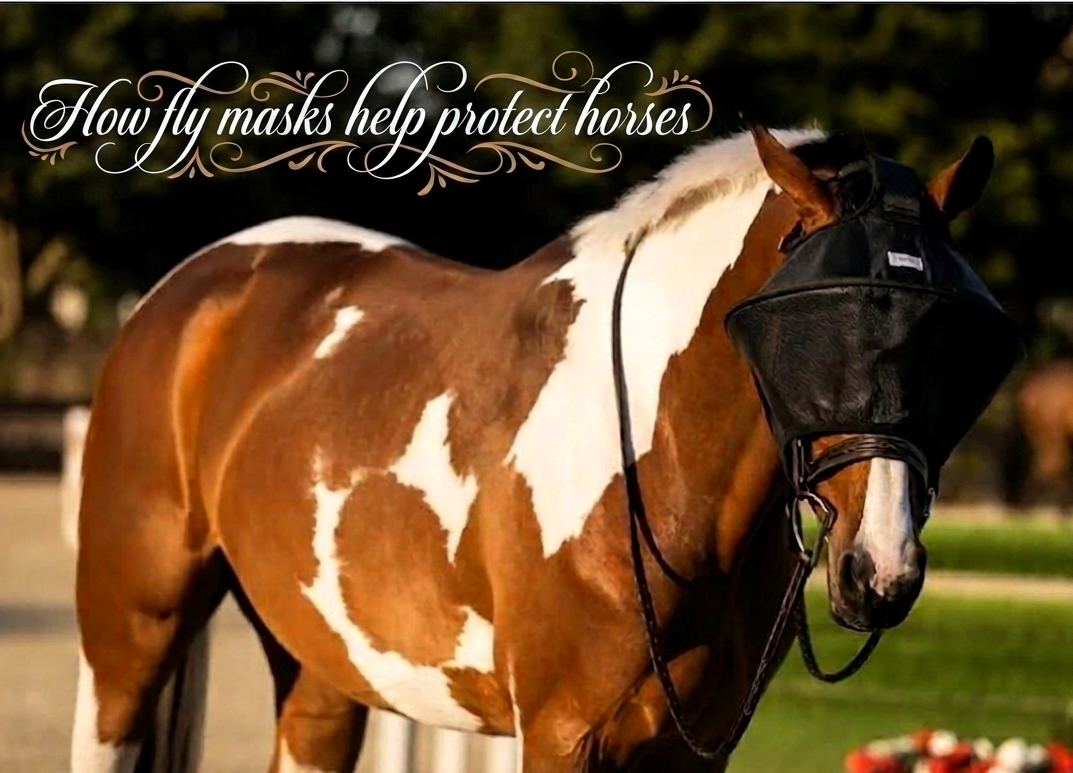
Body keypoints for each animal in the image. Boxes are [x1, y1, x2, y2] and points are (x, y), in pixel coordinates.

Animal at [70, 124, 997, 773]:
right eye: (816, 328)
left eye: (949, 338)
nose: (879, 571)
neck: (649, 466)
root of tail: (190, 287)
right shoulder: (559, 734)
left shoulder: (692, 748)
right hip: (130, 636)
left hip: (323, 668)